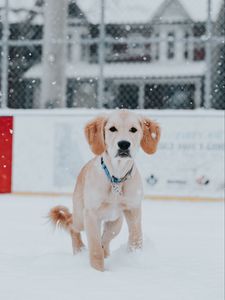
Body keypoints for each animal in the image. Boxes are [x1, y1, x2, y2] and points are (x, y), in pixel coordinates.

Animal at [49, 109, 161, 270]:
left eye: (133, 129)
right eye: (112, 129)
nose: (124, 144)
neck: (116, 178)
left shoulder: (133, 209)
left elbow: (136, 236)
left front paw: (135, 256)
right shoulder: (91, 214)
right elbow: (95, 248)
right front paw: (97, 271)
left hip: (116, 221)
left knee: (106, 238)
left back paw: (106, 252)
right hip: (80, 216)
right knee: (72, 225)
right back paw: (79, 249)